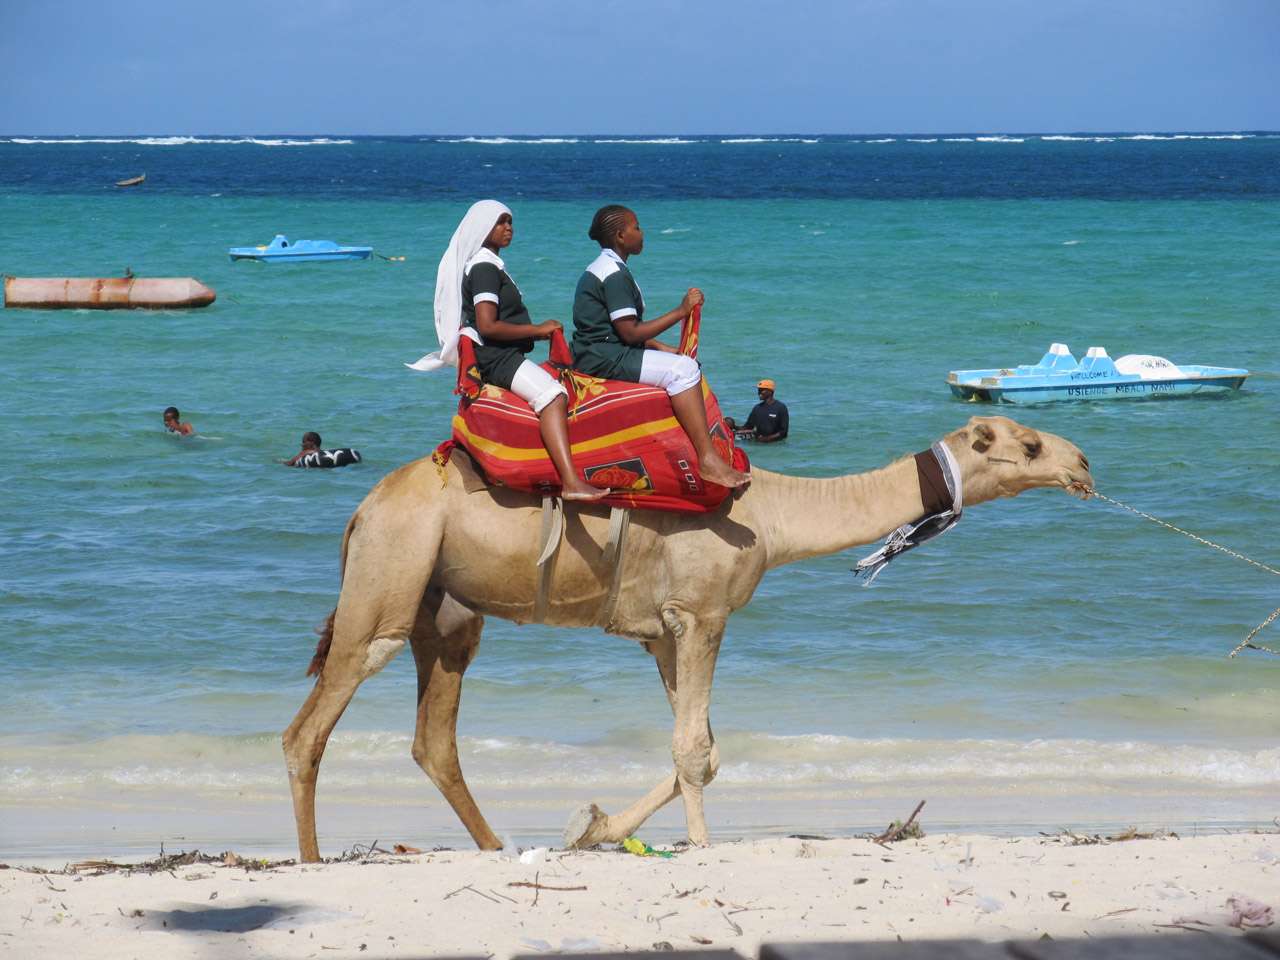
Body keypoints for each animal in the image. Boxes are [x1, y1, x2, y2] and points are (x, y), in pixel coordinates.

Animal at [283, 415, 1092, 862]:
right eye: (1027, 444)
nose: (1083, 463)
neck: (770, 515)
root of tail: (363, 510)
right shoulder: (703, 614)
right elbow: (693, 750)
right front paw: (699, 847)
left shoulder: (665, 630)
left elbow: (700, 745)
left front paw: (592, 826)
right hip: (388, 580)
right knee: (313, 724)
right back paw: (315, 860)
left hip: (446, 611)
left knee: (435, 736)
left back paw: (494, 846)